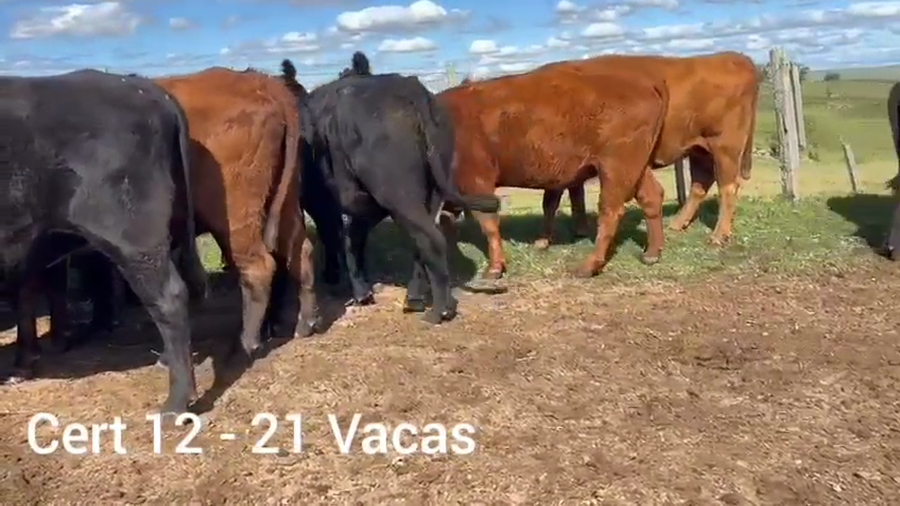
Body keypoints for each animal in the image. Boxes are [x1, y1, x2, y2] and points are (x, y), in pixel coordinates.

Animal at [281, 53, 501, 323]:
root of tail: (411, 89)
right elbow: (352, 238)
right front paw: (359, 289)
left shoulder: (324, 201)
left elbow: (335, 235)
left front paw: (338, 278)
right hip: (429, 193)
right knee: (421, 240)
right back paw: (415, 298)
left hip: (398, 194)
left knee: (431, 239)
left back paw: (439, 310)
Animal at [436, 62, 669, 286]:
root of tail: (646, 83)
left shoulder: (476, 183)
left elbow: (489, 225)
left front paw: (494, 269)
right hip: (637, 169)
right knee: (651, 197)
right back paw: (651, 254)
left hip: (615, 168)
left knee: (610, 211)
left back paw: (588, 266)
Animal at [533, 52, 760, 254]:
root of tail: (732, 57)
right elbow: (570, 195)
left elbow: (554, 199)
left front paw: (547, 239)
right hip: (698, 149)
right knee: (700, 184)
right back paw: (677, 224)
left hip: (725, 147)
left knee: (728, 188)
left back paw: (718, 235)